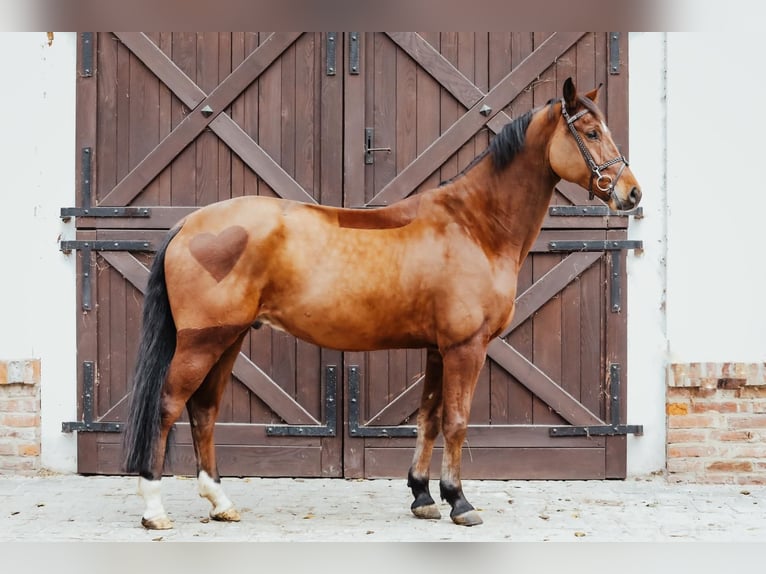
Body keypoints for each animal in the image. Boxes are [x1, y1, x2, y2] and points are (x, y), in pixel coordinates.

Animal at [124, 77, 640, 532]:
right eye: (590, 132)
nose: (631, 193)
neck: (473, 226)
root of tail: (189, 222)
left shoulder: (437, 349)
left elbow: (428, 419)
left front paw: (423, 496)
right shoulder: (465, 348)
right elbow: (456, 422)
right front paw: (460, 502)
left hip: (228, 340)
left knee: (204, 410)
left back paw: (221, 503)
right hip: (201, 342)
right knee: (168, 406)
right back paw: (154, 510)